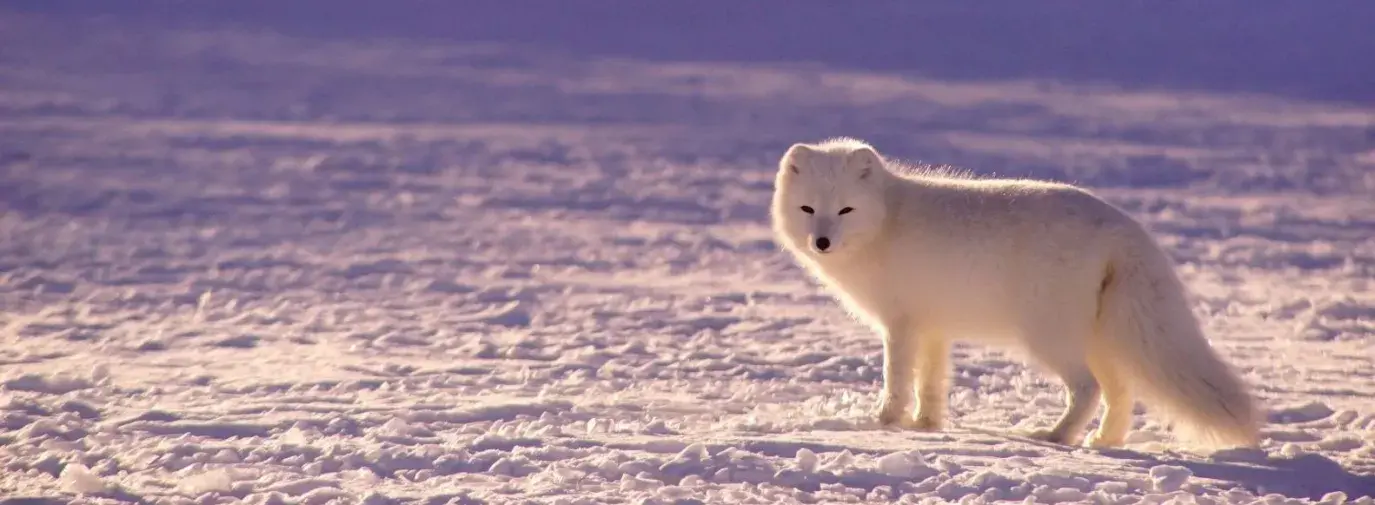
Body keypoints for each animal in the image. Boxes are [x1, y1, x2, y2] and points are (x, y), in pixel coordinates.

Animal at [770, 137, 1262, 449]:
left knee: (1088, 388)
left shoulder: (901, 325)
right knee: (1121, 392)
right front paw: (927, 425)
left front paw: (886, 423)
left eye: (845, 210)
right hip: (1099, 338)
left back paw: (1058, 436)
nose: (822, 242)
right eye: (808, 209)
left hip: (1049, 337)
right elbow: (932, 382)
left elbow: (897, 379)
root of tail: (1124, 227)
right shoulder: (934, 328)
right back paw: (1105, 441)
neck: (887, 222)